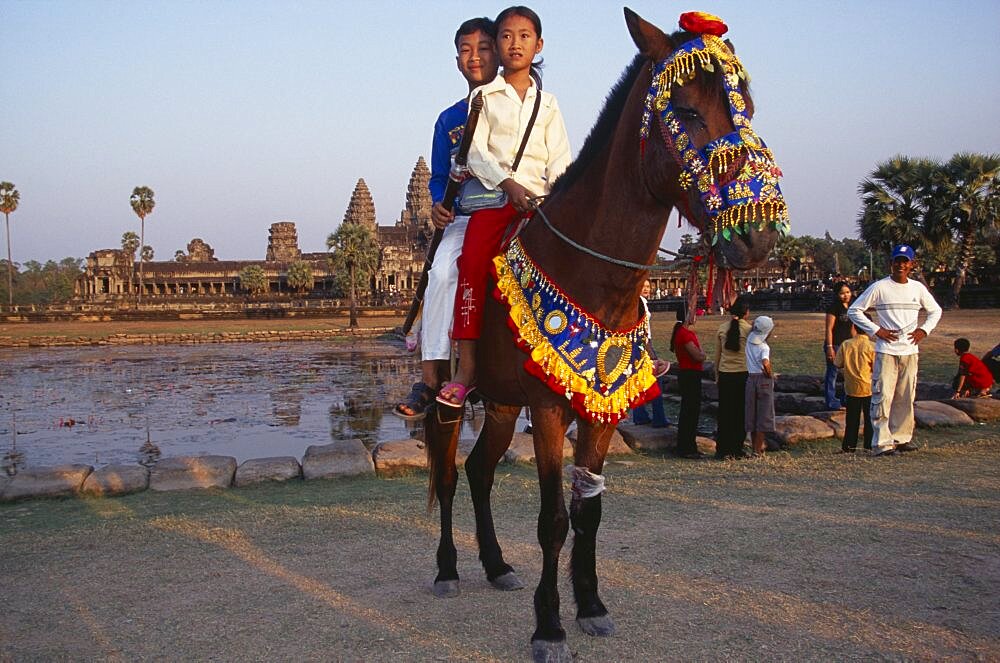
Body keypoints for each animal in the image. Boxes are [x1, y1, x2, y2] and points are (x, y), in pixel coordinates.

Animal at [422, 7, 788, 660]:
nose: (758, 238)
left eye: (747, 106)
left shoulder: (603, 407)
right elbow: (552, 521)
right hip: (449, 392)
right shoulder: (548, 409)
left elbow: (587, 512)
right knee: (445, 470)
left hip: (500, 403)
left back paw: (495, 564)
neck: (595, 277)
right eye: (687, 112)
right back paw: (446, 569)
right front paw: (548, 626)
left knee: (480, 471)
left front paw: (591, 605)